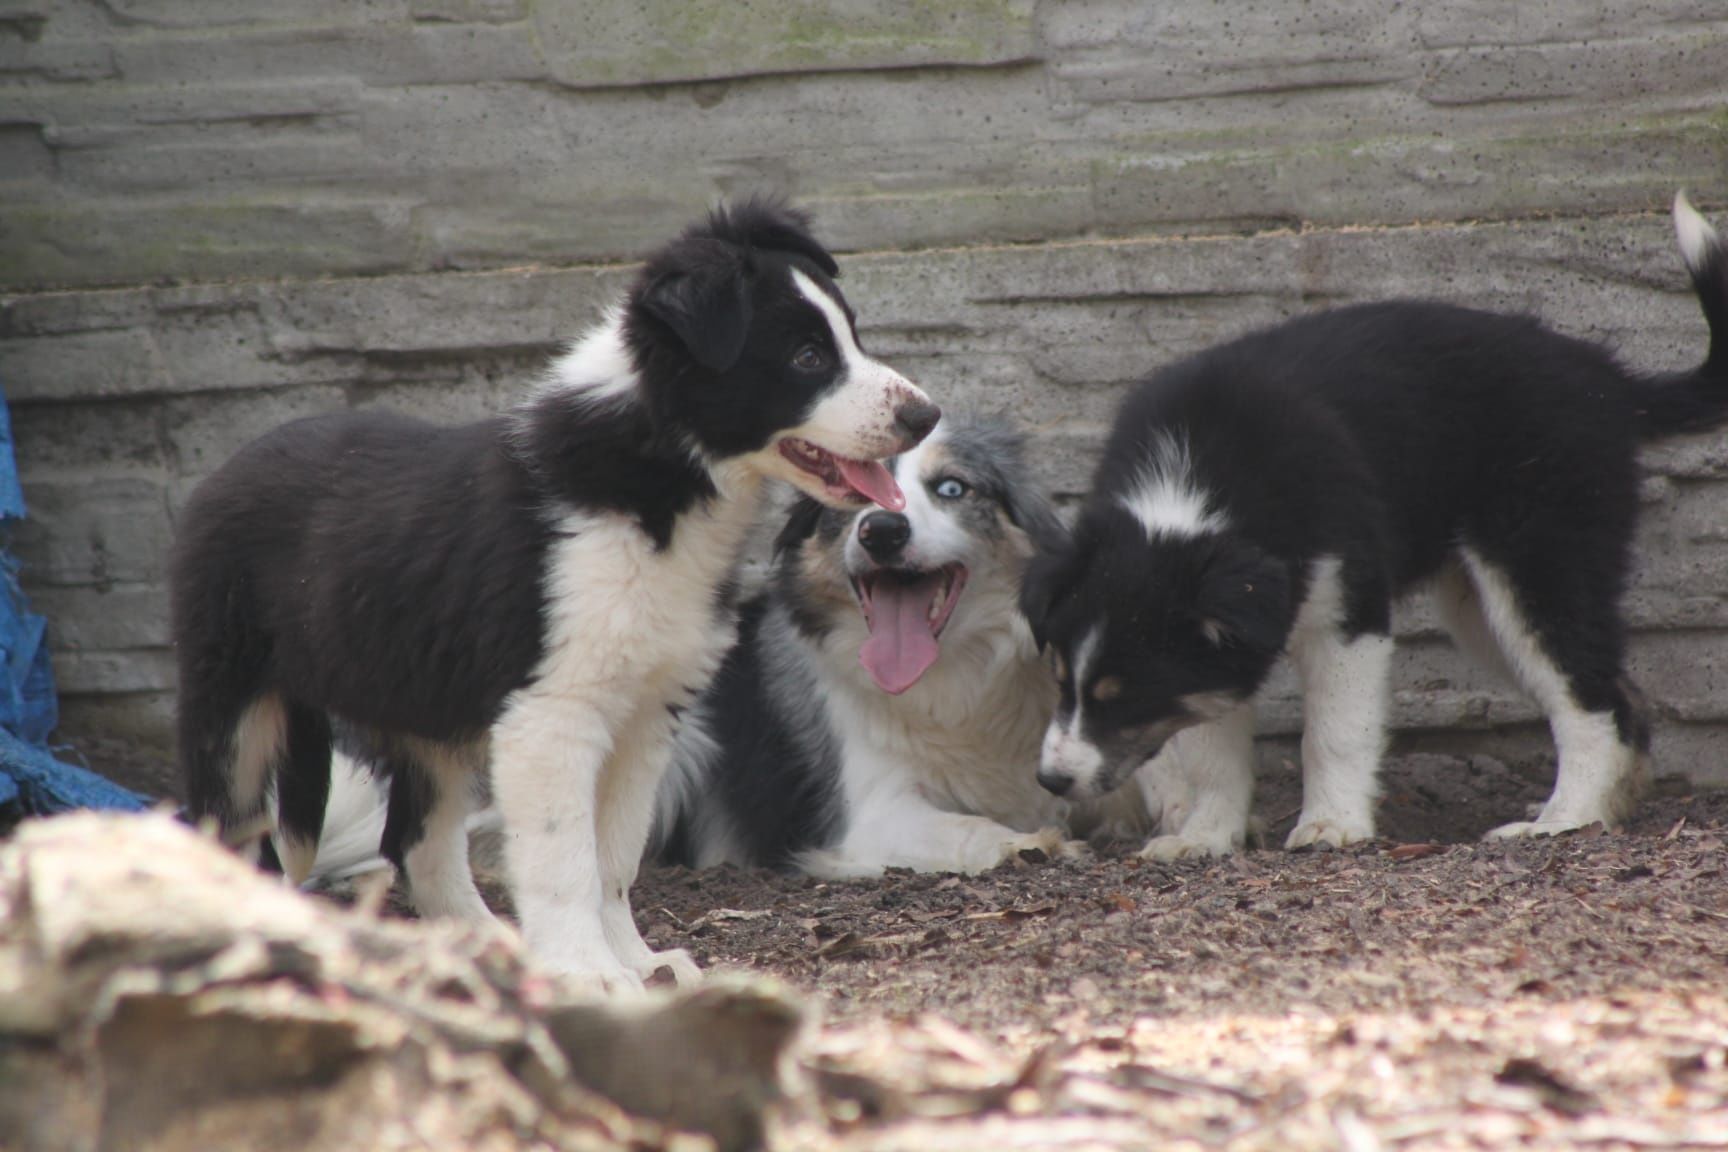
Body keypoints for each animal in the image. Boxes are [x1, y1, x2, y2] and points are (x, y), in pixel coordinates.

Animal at [168, 200, 940, 994]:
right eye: (807, 357)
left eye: (851, 335)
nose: (927, 415)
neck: (663, 479)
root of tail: (230, 466)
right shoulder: (551, 713)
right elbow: (563, 859)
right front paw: (588, 972)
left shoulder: (647, 713)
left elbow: (616, 856)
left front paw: (635, 961)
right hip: (233, 700)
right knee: (229, 828)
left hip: (432, 716)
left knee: (416, 843)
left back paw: (487, 947)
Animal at [1016, 191, 1728, 856]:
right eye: (1060, 682)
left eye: (1119, 695)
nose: (1050, 782)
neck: (1197, 490)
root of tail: (1609, 382)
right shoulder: (1211, 660)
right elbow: (1212, 750)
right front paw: (1205, 838)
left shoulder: (1347, 614)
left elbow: (1333, 734)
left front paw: (1331, 825)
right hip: (1482, 609)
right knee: (1618, 690)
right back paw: (1605, 808)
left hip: (1541, 561)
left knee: (1591, 700)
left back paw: (1564, 819)